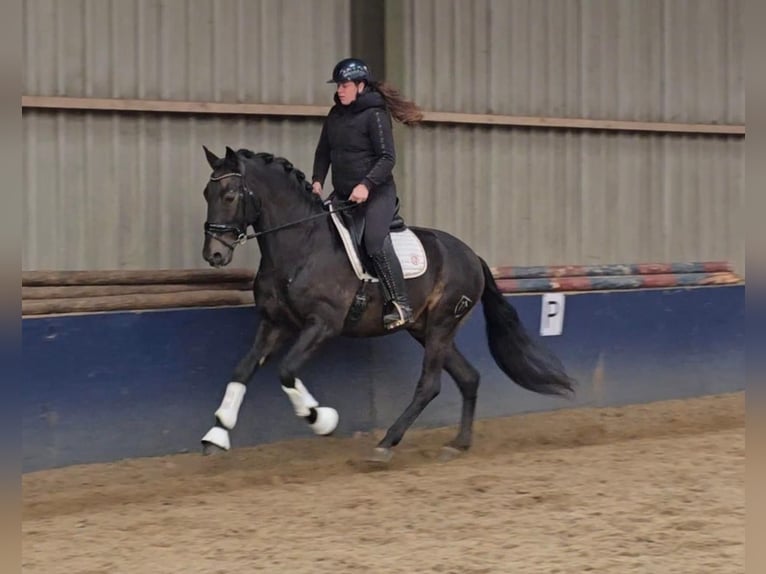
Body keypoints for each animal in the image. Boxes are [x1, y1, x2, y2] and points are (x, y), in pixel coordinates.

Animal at [198, 146, 576, 466]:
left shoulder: (322, 324)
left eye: (229, 195)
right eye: (206, 194)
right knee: (469, 378)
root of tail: (471, 255)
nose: (213, 254)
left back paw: (384, 445)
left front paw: (321, 419)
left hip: (441, 325)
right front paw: (216, 433)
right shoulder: (275, 322)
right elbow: (242, 369)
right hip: (425, 329)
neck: (301, 245)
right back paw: (457, 444)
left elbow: (287, 371)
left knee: (430, 385)